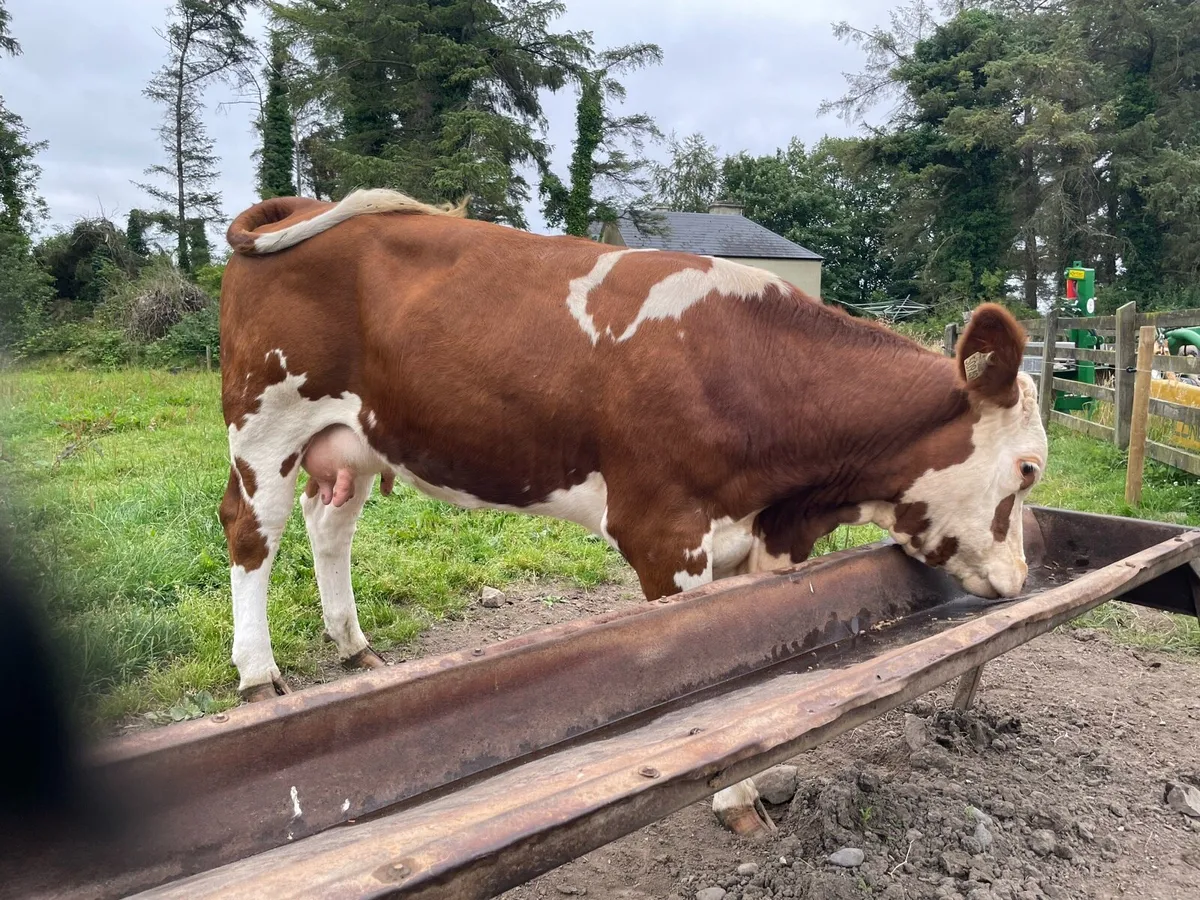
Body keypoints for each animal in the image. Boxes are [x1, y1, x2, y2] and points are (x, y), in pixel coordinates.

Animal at [218, 189, 1048, 836]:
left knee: (329, 525)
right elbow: (705, 665)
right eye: (1029, 468)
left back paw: (353, 645)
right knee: (251, 532)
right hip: (265, 423)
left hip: (354, 440)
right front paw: (731, 796)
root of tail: (304, 203)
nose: (1020, 577)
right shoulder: (663, 531)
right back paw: (258, 676)